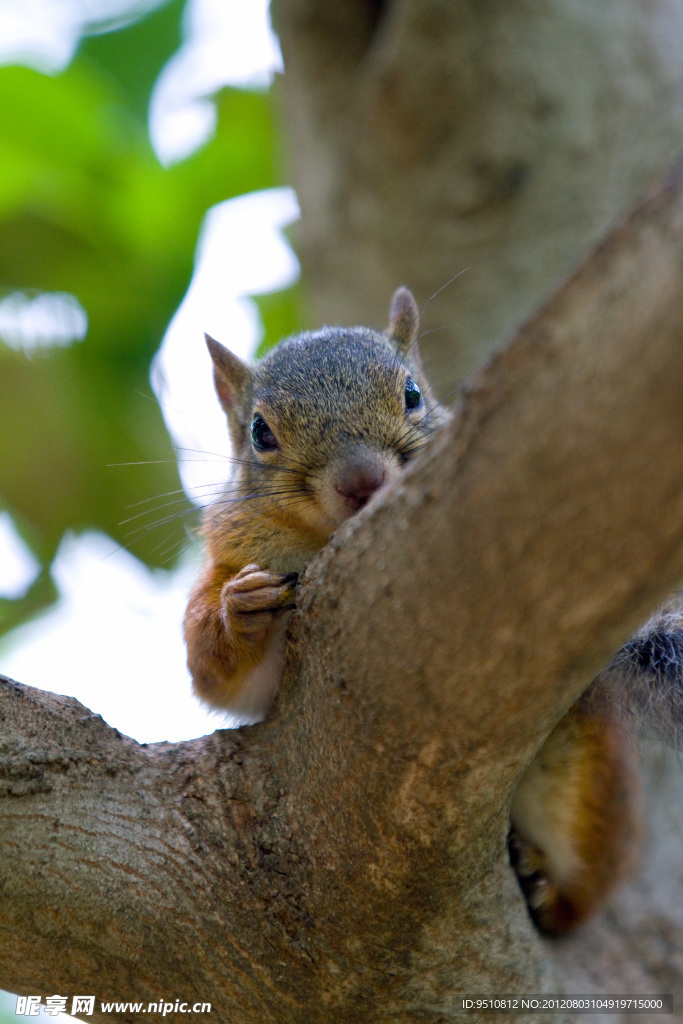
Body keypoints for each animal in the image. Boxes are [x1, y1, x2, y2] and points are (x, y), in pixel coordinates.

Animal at [183, 286, 683, 937]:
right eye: (259, 432)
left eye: (413, 395)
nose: (362, 480)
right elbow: (217, 675)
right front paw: (239, 608)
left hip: (583, 787)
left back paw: (546, 889)